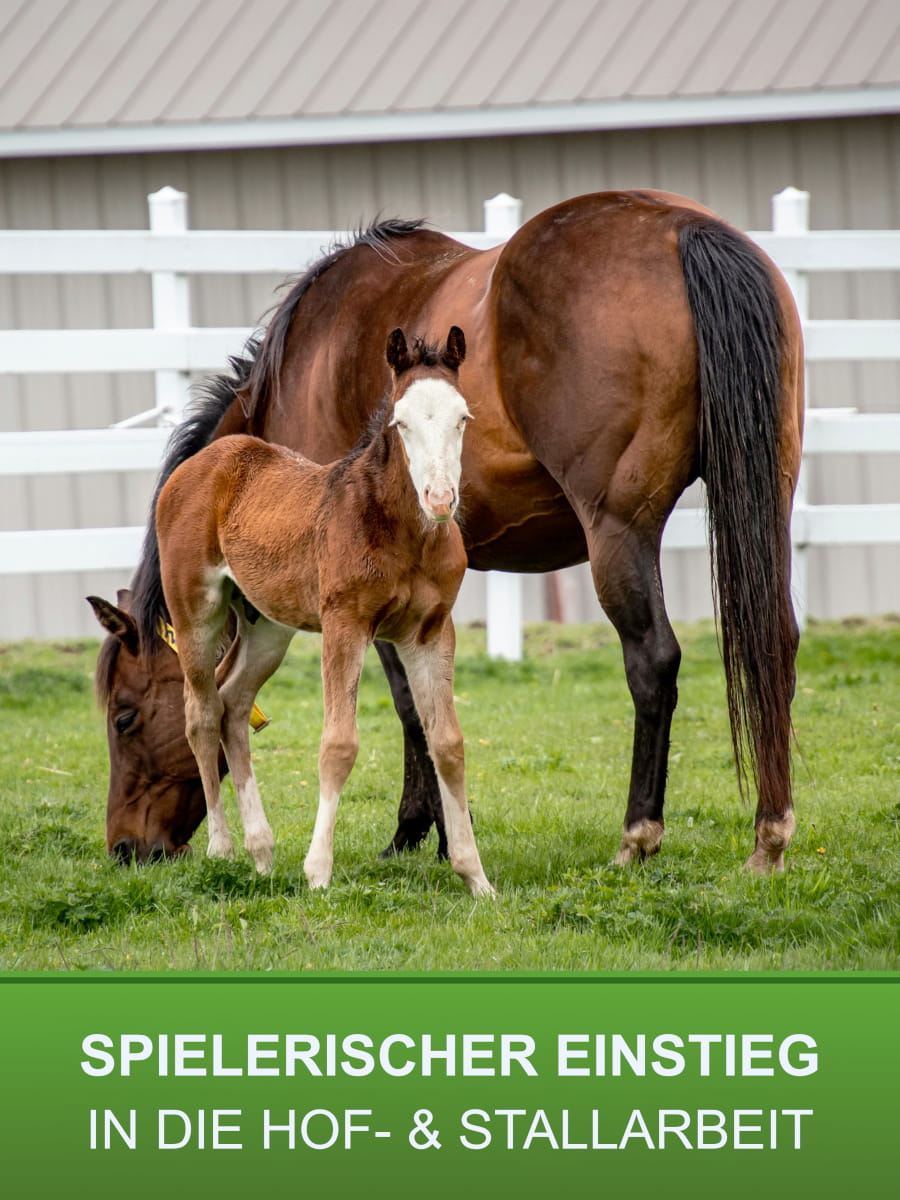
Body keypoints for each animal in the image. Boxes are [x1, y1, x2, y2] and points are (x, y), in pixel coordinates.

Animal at [146, 325, 491, 896]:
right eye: (401, 422)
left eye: (462, 417)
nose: (441, 500)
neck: (403, 532)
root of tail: (199, 465)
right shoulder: (344, 624)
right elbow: (339, 744)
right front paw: (318, 872)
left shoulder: (431, 632)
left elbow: (448, 744)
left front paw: (475, 876)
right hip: (196, 609)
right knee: (201, 712)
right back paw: (222, 849)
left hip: (267, 627)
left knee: (233, 703)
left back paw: (262, 853)